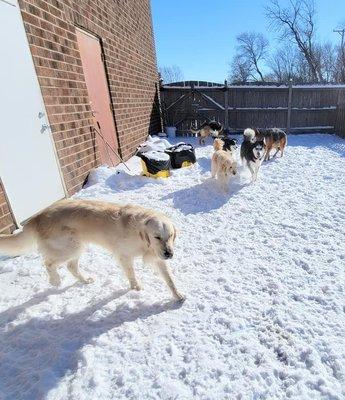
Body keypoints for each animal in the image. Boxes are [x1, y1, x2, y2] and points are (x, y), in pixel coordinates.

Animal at [0, 198, 185, 302]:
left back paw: (84, 280)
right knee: (49, 263)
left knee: (71, 266)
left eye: (170, 236)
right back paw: (55, 280)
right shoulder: (125, 255)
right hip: (70, 247)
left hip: (77, 247)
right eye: (156, 237)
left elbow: (169, 279)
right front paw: (136, 288)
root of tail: (37, 216)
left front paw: (177, 295)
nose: (169, 254)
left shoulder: (157, 257)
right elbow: (132, 274)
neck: (141, 236)